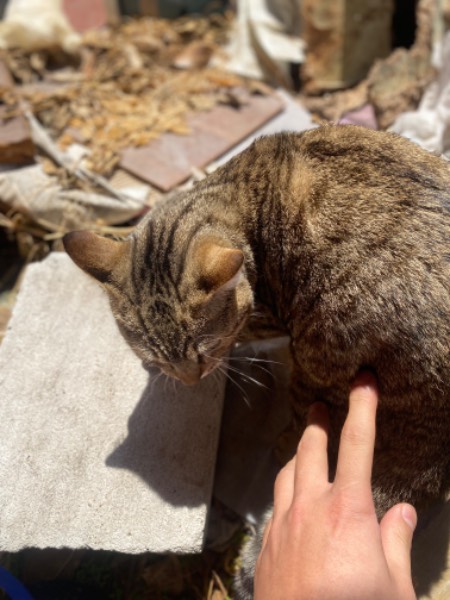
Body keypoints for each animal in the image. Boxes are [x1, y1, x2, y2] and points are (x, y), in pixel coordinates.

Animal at [63, 125, 450, 599]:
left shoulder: (262, 321)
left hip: (317, 357)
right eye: (158, 354)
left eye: (203, 351)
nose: (188, 380)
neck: (234, 195)